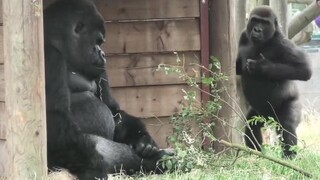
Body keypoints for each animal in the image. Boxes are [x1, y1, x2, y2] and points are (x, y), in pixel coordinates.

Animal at [45, 0, 170, 179]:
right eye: (97, 41)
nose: (103, 54)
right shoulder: (50, 57)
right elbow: (55, 121)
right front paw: (94, 170)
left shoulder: (100, 69)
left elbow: (113, 110)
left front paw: (143, 139)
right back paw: (156, 161)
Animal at [236, 5, 312, 158]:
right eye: (255, 20)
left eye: (265, 23)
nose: (257, 30)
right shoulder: (243, 35)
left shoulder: (283, 43)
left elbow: (304, 70)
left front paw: (262, 67)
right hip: (261, 115)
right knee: (251, 125)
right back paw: (257, 154)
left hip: (289, 105)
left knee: (287, 127)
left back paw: (289, 158)